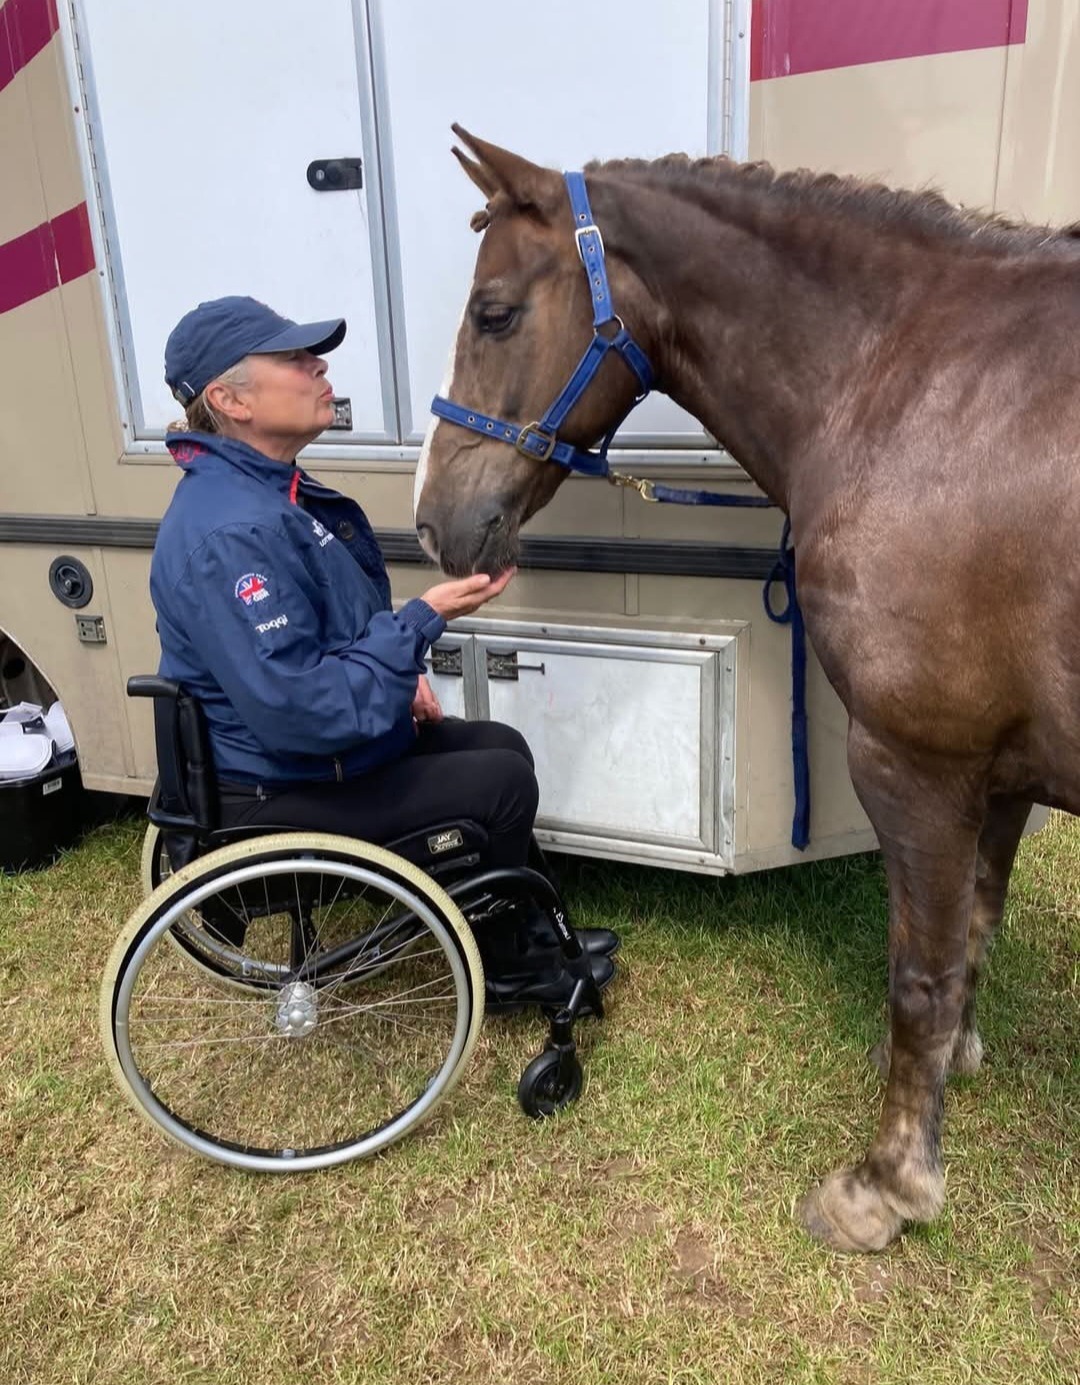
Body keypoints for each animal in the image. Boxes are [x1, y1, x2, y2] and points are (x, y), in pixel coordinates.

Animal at [413, 126, 1080, 1252]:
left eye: (494, 311)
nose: (432, 522)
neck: (921, 385)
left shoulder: (919, 763)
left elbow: (920, 973)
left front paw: (885, 1185)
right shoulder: (998, 770)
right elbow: (972, 933)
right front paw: (945, 1081)